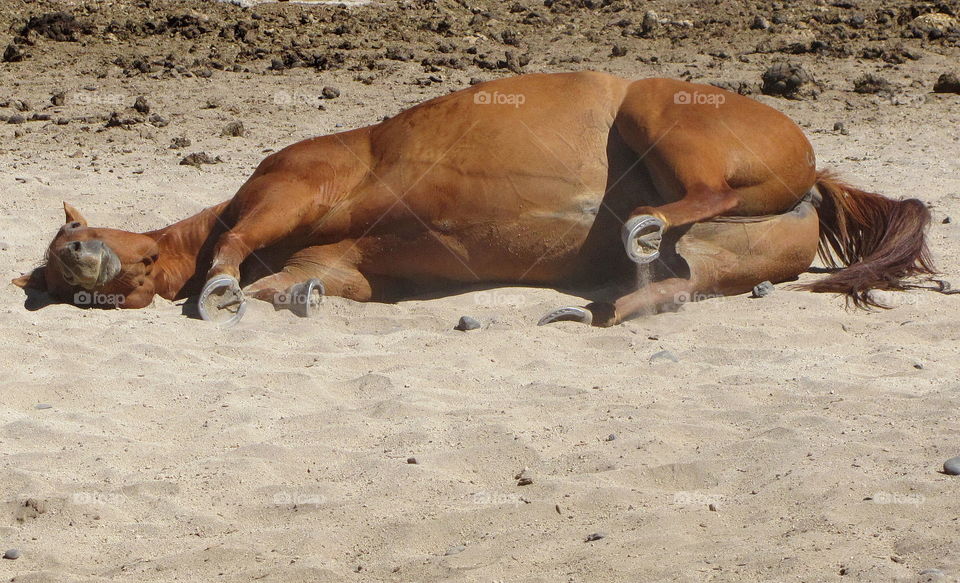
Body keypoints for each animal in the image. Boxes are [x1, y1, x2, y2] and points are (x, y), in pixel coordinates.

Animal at [11, 71, 932, 326]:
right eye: (56, 278)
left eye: (74, 236)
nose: (80, 256)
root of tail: (812, 173)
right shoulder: (344, 263)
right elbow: (296, 283)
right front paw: (283, 296)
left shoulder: (290, 188)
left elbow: (234, 250)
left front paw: (220, 286)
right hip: (727, 251)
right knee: (676, 283)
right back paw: (602, 301)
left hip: (660, 117)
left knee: (692, 197)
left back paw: (639, 227)